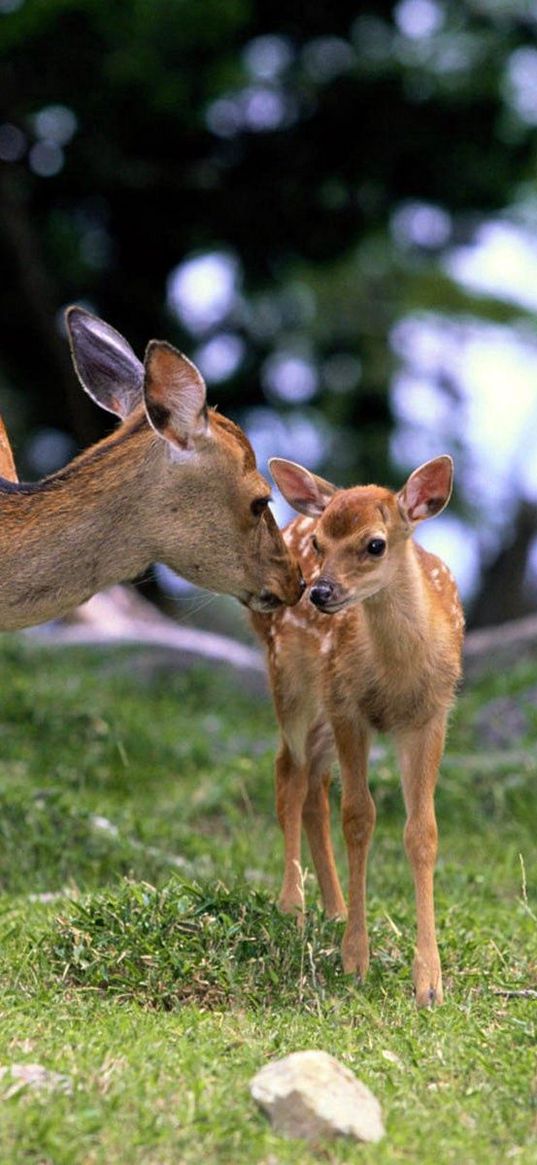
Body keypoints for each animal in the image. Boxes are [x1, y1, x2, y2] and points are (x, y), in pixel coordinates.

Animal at [252, 459, 463, 1006]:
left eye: (375, 544)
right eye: (320, 543)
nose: (320, 591)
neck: (395, 675)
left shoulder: (431, 715)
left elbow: (422, 832)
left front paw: (429, 983)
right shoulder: (348, 706)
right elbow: (359, 819)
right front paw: (355, 960)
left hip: (321, 712)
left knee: (313, 785)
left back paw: (334, 907)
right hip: (291, 679)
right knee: (289, 774)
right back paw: (293, 904)